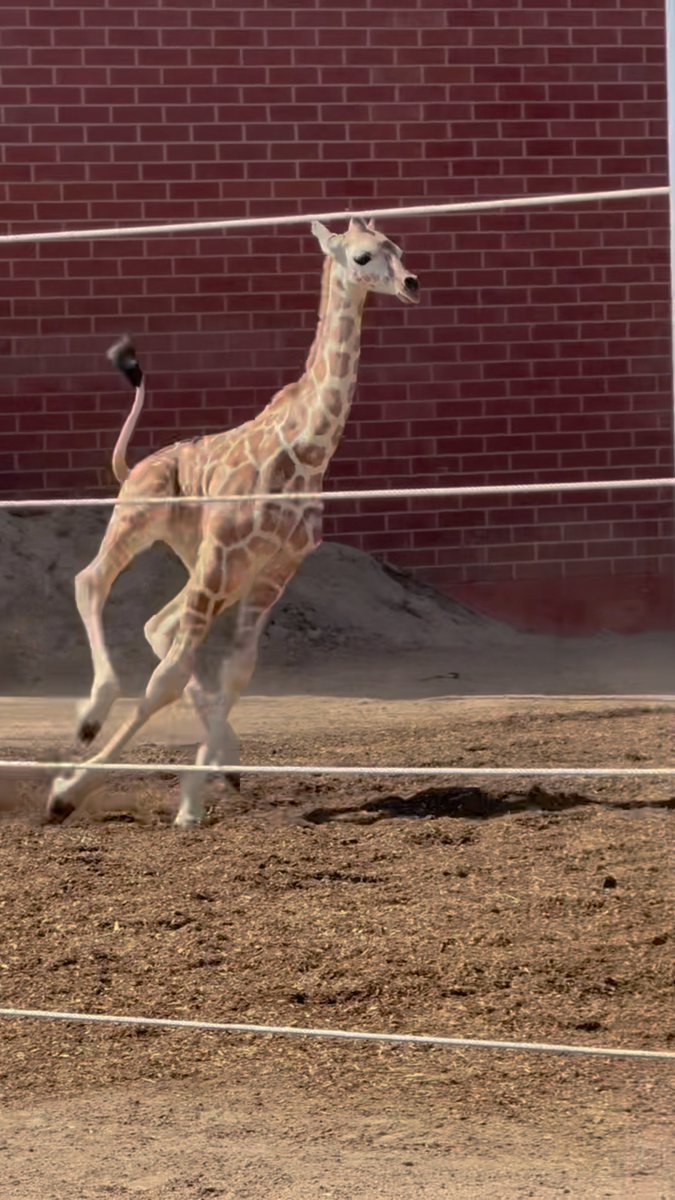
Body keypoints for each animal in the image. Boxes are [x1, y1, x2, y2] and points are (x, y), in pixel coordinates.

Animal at [46, 216, 420, 828]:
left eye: (399, 249)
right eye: (363, 257)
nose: (412, 283)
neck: (307, 452)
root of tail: (134, 466)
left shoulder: (274, 570)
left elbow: (238, 671)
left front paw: (193, 799)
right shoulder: (225, 557)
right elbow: (166, 680)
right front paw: (66, 793)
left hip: (199, 559)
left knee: (158, 624)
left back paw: (228, 758)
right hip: (144, 523)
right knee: (92, 581)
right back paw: (92, 715)